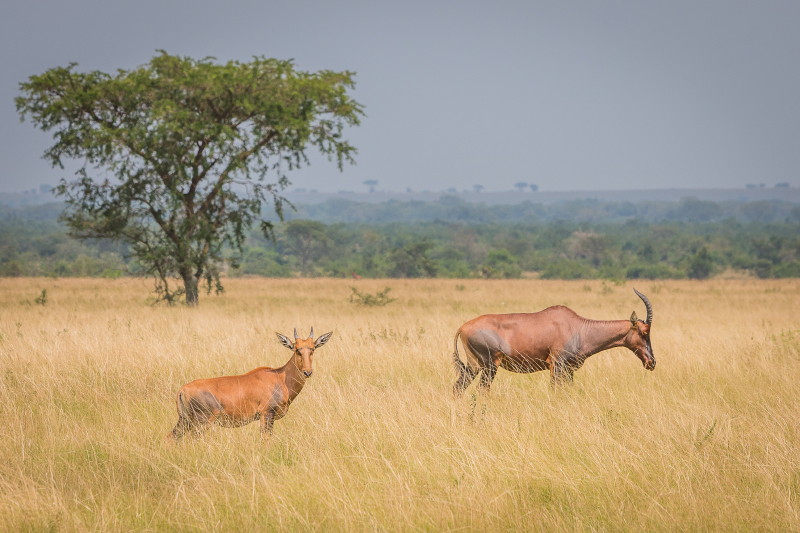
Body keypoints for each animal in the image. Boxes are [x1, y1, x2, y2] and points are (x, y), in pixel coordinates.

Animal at [169, 328, 332, 440]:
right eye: (297, 350)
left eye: (312, 349)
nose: (307, 372)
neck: (280, 377)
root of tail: (182, 390)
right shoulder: (266, 414)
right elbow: (265, 439)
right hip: (201, 422)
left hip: (184, 421)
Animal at [454, 286, 652, 394]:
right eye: (644, 331)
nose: (652, 362)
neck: (578, 327)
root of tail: (463, 327)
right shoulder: (556, 365)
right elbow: (555, 390)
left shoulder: (569, 370)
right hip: (489, 366)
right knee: (481, 389)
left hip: (474, 365)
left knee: (459, 387)